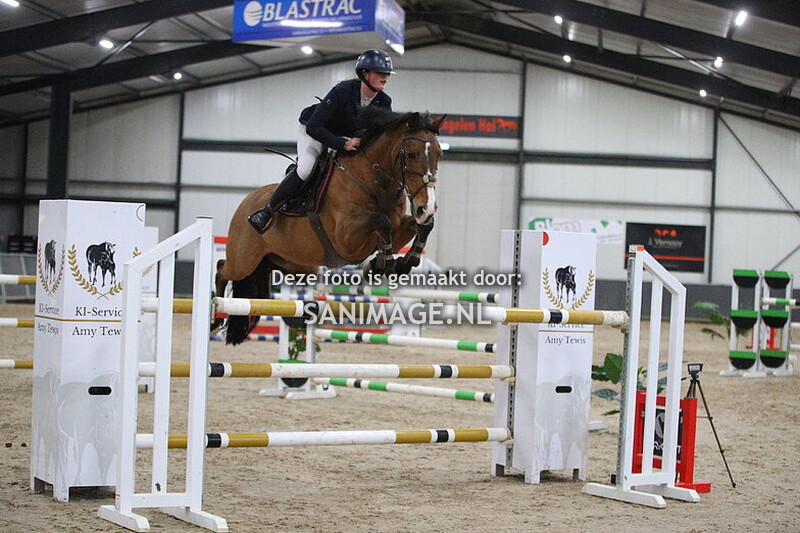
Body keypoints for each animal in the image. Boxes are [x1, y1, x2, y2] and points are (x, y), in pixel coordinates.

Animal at [215, 108, 445, 345]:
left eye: (439, 155)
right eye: (411, 155)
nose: (426, 207)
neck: (372, 180)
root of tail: (247, 201)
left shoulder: (397, 228)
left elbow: (422, 225)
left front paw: (402, 262)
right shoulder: (347, 241)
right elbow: (382, 221)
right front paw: (386, 264)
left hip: (292, 266)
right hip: (244, 262)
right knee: (222, 268)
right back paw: (216, 317)